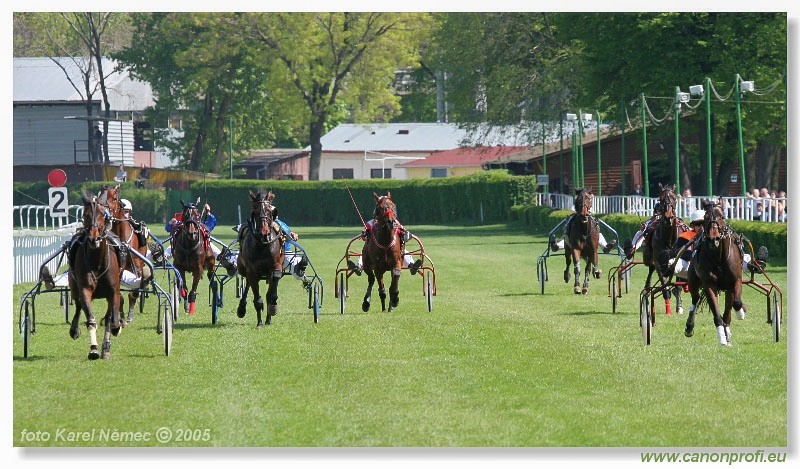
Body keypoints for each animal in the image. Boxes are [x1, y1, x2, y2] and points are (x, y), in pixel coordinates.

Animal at [67, 189, 123, 358]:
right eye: (85, 214)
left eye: (102, 214)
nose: (93, 238)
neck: (97, 261)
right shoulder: (85, 288)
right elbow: (90, 319)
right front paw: (93, 349)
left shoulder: (113, 291)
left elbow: (112, 319)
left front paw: (107, 344)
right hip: (74, 286)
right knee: (78, 304)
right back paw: (74, 329)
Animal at [236, 189, 286, 326]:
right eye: (255, 211)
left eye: (269, 211)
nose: (264, 232)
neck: (263, 244)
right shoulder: (252, 270)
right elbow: (257, 299)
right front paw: (259, 323)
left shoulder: (276, 265)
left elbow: (274, 285)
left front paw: (272, 307)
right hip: (243, 268)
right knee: (247, 282)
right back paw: (242, 307)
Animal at [644, 181, 688, 316]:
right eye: (662, 199)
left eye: (674, 199)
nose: (668, 217)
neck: (669, 238)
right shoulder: (658, 261)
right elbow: (664, 285)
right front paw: (668, 308)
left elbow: (678, 285)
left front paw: (679, 306)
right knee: (651, 270)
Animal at [684, 199, 748, 346]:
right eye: (706, 217)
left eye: (722, 217)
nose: (714, 238)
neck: (719, 258)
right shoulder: (709, 285)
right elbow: (716, 314)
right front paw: (722, 337)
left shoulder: (735, 281)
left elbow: (736, 303)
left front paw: (740, 313)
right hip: (693, 281)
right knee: (695, 299)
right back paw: (689, 326)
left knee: (728, 310)